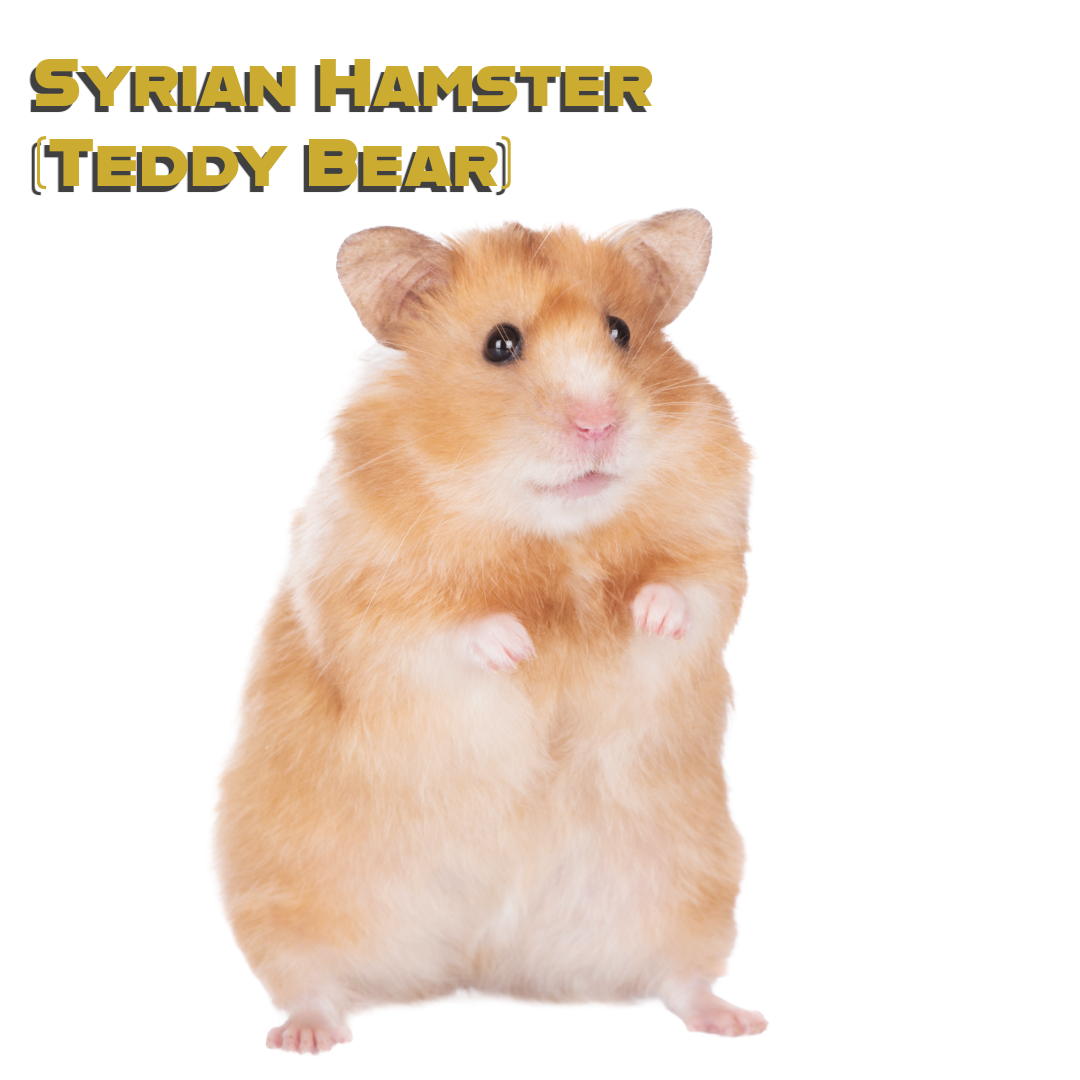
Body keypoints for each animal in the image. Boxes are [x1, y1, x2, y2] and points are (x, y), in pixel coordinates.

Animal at [215, 209, 766, 1053]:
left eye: (621, 332)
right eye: (500, 344)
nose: (600, 424)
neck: (546, 532)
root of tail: (477, 959)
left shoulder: (716, 538)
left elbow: (689, 590)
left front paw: (642, 614)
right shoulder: (363, 590)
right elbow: (443, 627)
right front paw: (520, 647)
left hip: (689, 880)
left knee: (683, 978)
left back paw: (735, 1021)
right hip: (289, 885)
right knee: (308, 980)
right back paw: (306, 1037)